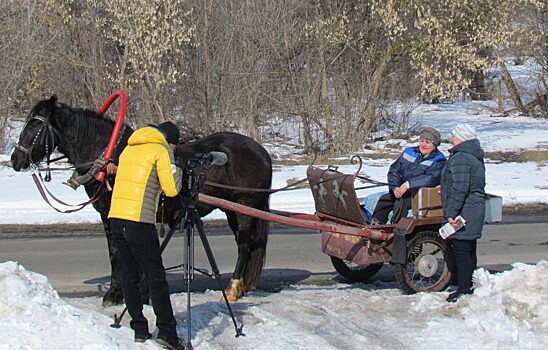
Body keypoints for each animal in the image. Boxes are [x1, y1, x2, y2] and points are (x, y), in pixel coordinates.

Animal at [10, 95, 272, 304]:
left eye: (34, 126)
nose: (14, 159)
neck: (112, 158)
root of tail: (260, 150)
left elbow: (125, 253)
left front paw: (128, 293)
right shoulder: (108, 216)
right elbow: (114, 253)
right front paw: (117, 293)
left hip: (245, 206)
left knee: (245, 244)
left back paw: (232, 289)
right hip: (233, 210)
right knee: (244, 243)